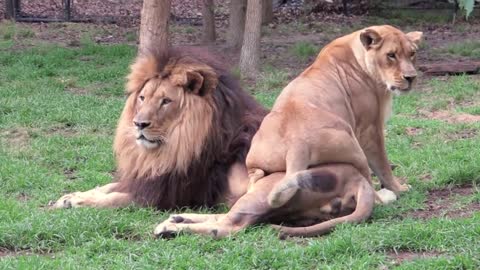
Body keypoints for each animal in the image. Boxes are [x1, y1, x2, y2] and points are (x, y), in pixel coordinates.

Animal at [54, 47, 268, 209]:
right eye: (142, 98)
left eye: (166, 101)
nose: (139, 124)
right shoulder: (148, 179)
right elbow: (109, 186)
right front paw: (70, 196)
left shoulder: (167, 195)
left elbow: (115, 197)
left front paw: (81, 201)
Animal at [154, 24, 420, 237]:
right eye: (391, 55)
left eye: (412, 54)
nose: (411, 77)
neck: (355, 53)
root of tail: (296, 145)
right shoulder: (369, 127)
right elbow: (383, 164)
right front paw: (398, 187)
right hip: (351, 145)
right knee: (227, 226)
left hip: (260, 169)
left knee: (234, 208)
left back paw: (174, 220)